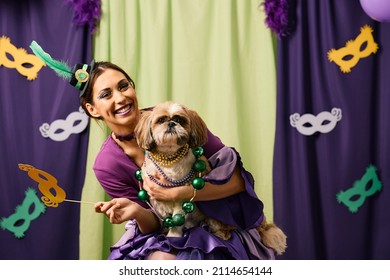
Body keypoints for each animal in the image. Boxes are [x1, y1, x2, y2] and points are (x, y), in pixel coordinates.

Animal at [134, 101, 286, 255]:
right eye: (161, 120)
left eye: (180, 120)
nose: (171, 123)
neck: (168, 159)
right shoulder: (158, 202)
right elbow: (166, 218)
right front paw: (165, 230)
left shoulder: (179, 199)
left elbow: (177, 221)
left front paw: (173, 236)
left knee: (228, 229)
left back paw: (220, 234)